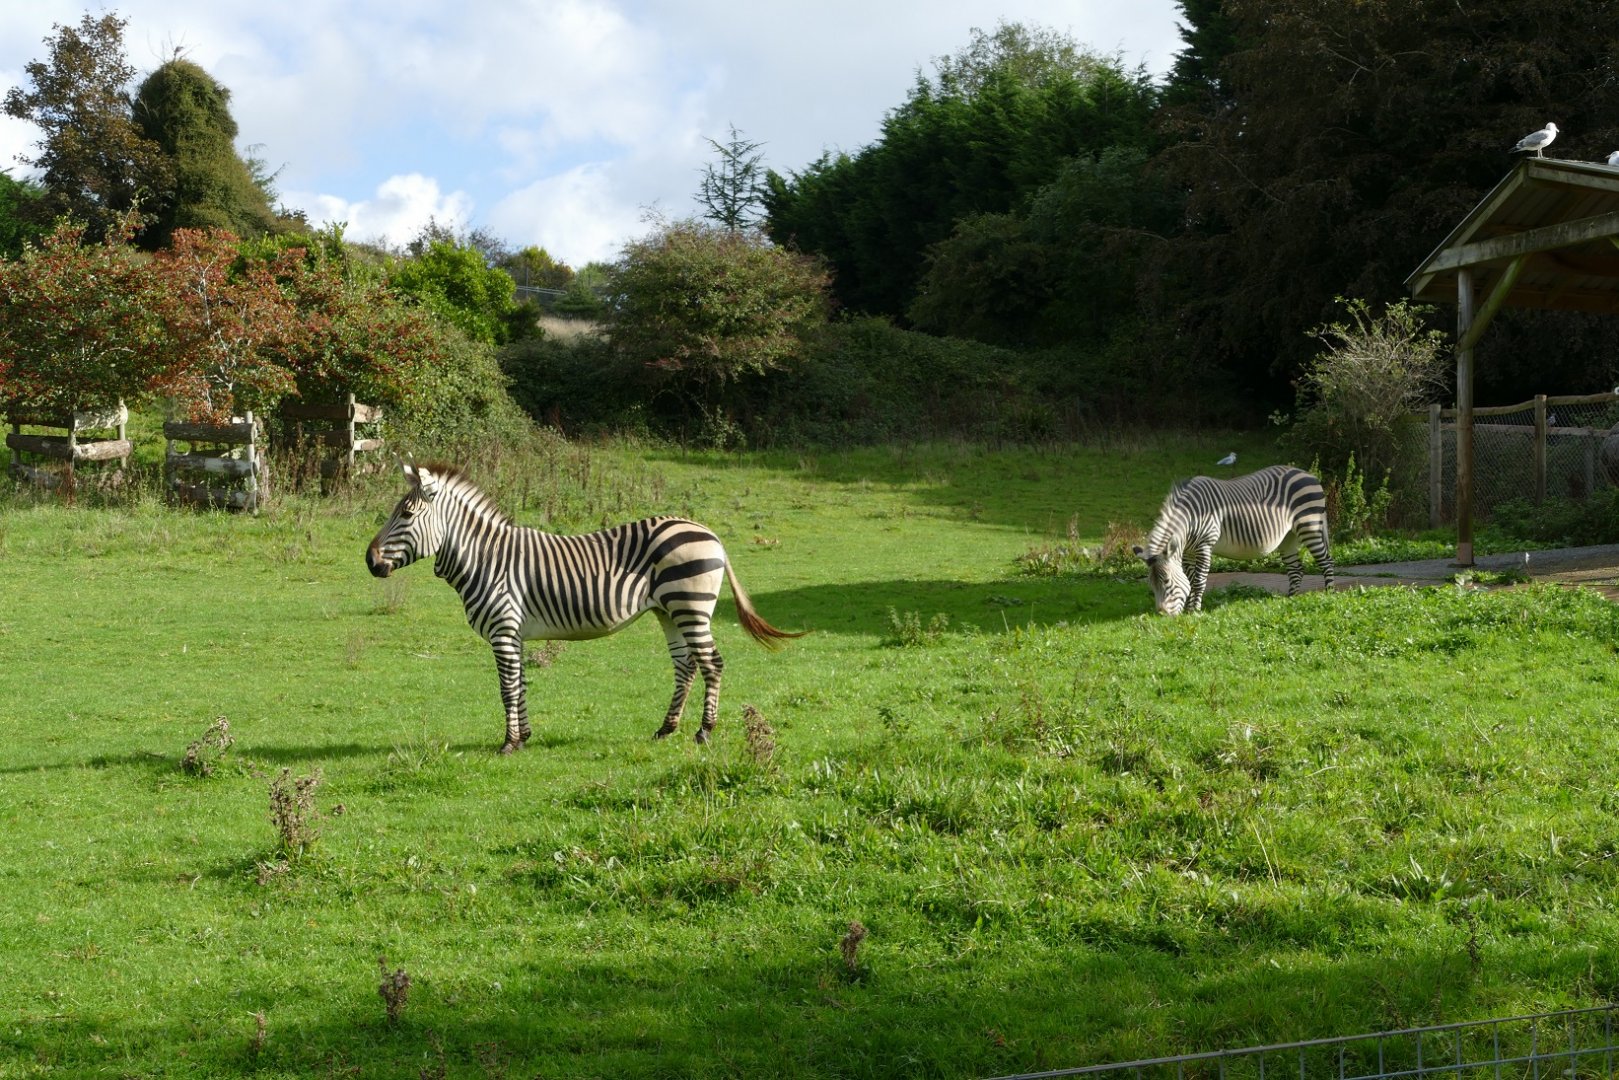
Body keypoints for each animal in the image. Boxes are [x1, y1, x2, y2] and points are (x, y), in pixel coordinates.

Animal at [365, 462, 804, 752]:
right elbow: (520, 683)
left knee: (712, 663)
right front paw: (524, 737)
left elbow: (507, 686)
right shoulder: (515, 632)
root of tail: (709, 533)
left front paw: (508, 743)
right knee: (686, 665)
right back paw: (666, 729)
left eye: (405, 514)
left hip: (690, 606)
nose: (369, 562)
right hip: (669, 611)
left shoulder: (503, 629)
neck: (485, 558)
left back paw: (704, 732)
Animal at [1132, 464, 1333, 616]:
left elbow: (1199, 579)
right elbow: (1189, 579)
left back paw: (1329, 594)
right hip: (1288, 537)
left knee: (1327, 561)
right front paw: (1189, 607)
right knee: (1296, 569)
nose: (1162, 615)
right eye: (1151, 585)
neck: (1189, 517)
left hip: (1309, 526)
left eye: (1167, 582)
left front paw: (1194, 610)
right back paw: (1291, 599)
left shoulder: (1205, 545)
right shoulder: (1187, 551)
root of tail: (1308, 474)